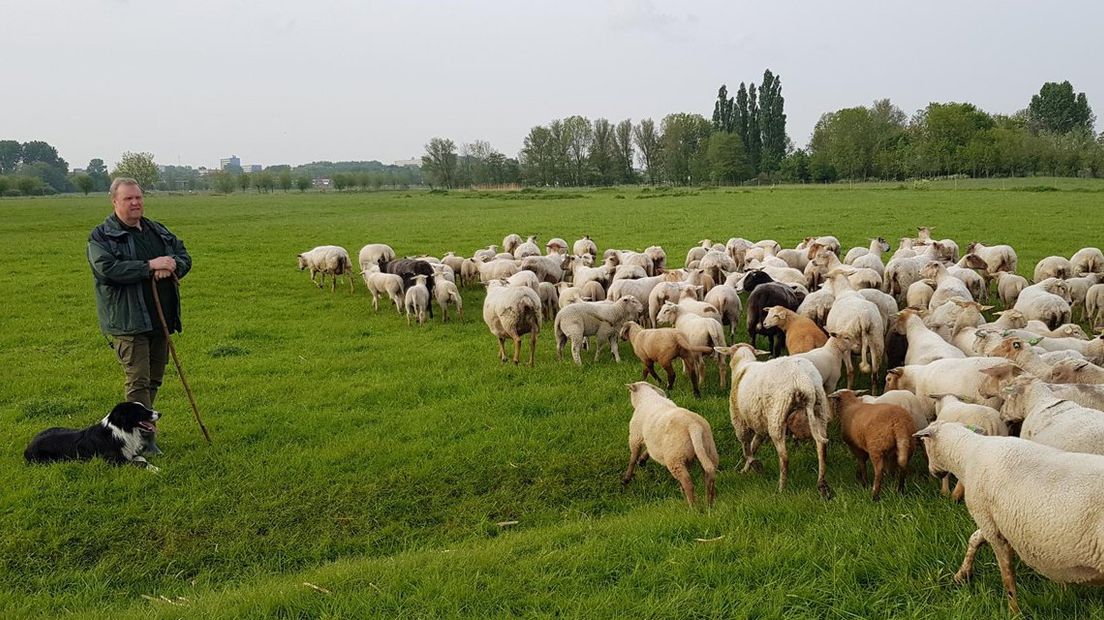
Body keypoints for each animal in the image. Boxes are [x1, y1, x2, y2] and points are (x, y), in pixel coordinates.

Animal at [710, 339, 830, 494]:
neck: (742, 366)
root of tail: (803, 380)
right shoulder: (760, 424)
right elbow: (754, 446)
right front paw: (748, 468)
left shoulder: (739, 421)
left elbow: (746, 448)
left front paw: (753, 466)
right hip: (820, 409)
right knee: (821, 447)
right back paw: (821, 483)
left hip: (777, 415)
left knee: (784, 456)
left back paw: (781, 489)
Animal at [914, 419, 1104, 613]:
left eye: (925, 442)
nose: (933, 472)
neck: (967, 454)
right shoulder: (992, 520)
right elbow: (974, 538)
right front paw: (961, 575)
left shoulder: (989, 524)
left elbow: (1007, 575)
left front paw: (1014, 611)